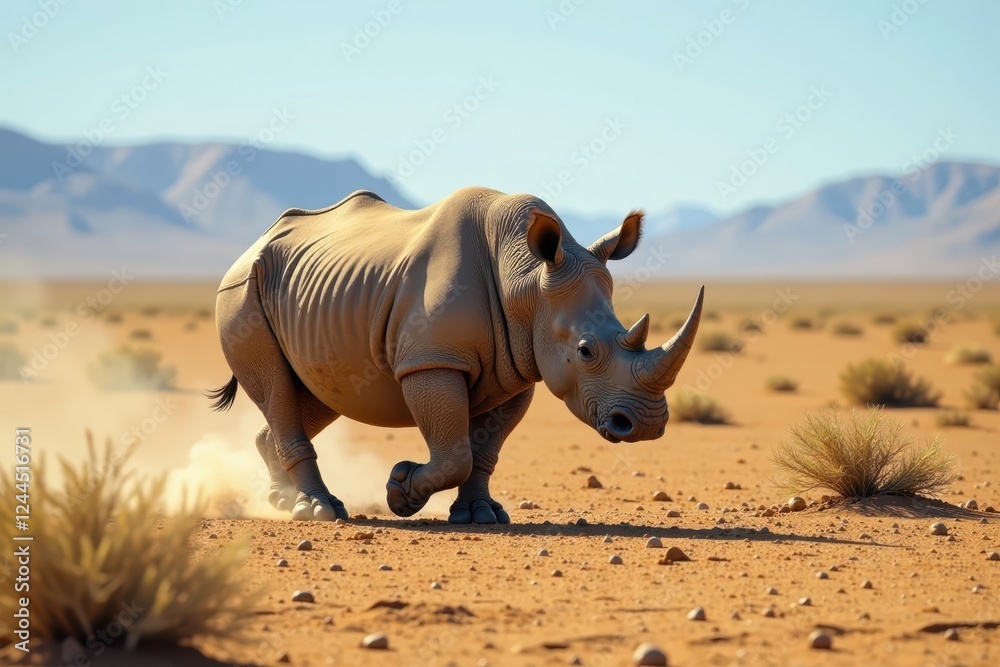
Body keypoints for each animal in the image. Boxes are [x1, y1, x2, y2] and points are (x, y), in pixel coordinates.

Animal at [209, 187, 703, 523]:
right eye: (585, 351)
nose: (647, 425)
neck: (525, 278)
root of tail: (251, 246)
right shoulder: (432, 359)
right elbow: (455, 452)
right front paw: (400, 491)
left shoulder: (518, 370)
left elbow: (483, 451)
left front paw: (482, 515)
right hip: (240, 291)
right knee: (277, 387)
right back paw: (320, 511)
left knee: (316, 394)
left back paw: (282, 500)